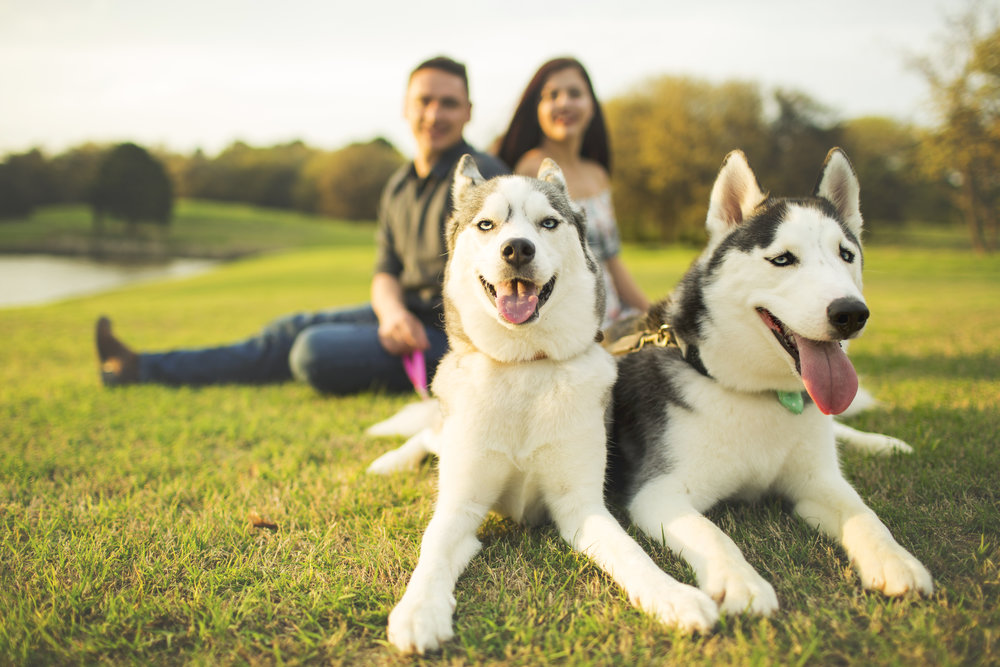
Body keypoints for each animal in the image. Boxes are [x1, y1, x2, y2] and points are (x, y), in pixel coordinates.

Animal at [376, 155, 720, 652]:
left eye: (549, 223)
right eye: (487, 224)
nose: (517, 249)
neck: (525, 368)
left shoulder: (582, 506)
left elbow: (631, 552)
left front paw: (673, 596)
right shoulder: (460, 503)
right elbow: (432, 549)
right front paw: (419, 611)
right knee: (427, 433)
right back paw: (389, 461)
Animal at [612, 149, 932, 620]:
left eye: (846, 255)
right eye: (783, 259)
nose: (851, 313)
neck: (754, 392)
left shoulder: (817, 480)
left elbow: (864, 514)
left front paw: (895, 560)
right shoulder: (660, 490)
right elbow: (713, 535)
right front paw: (740, 581)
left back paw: (881, 442)